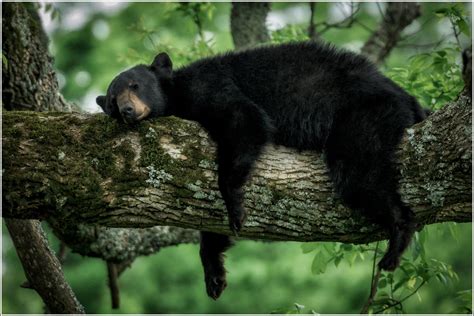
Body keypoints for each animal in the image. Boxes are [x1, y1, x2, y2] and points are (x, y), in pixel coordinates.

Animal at [95, 40, 426, 300]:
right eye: (112, 99)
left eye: (135, 85)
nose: (126, 110)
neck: (177, 95)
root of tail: (408, 98)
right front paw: (214, 274)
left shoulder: (209, 86)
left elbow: (244, 118)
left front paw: (234, 204)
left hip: (364, 115)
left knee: (358, 173)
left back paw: (396, 241)